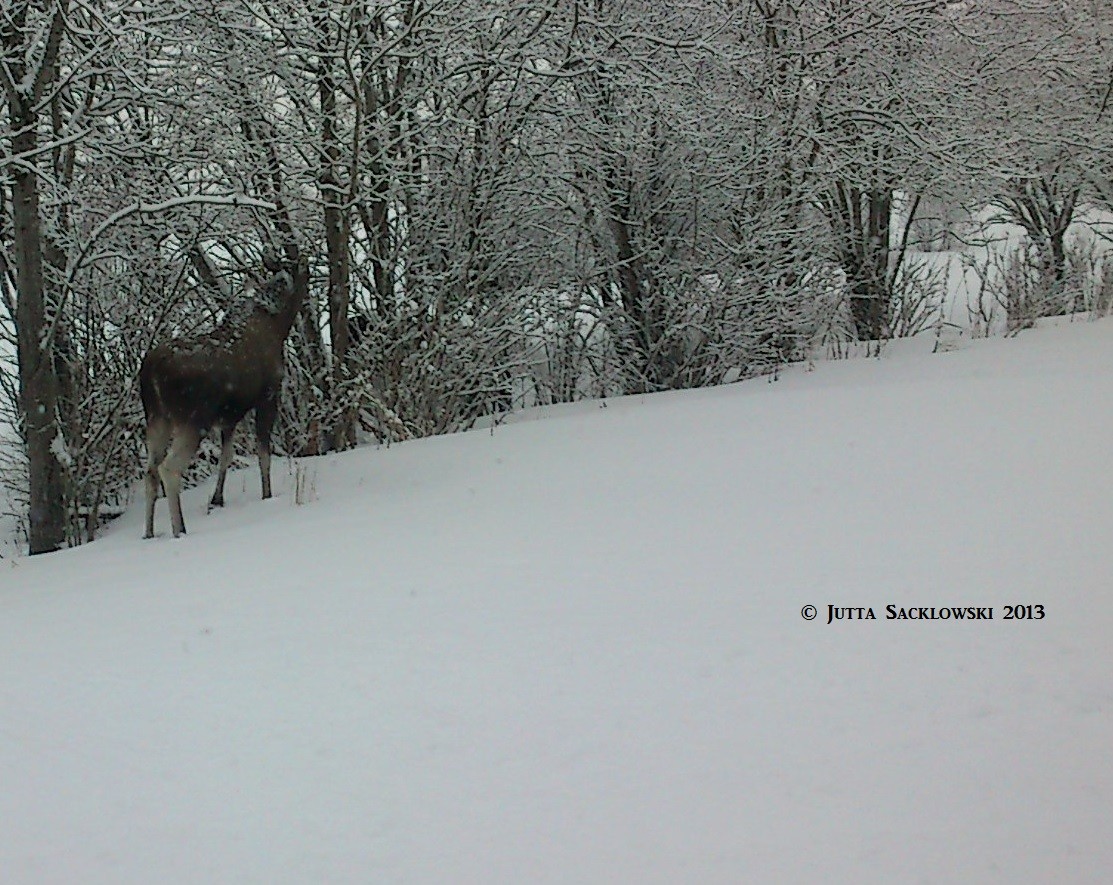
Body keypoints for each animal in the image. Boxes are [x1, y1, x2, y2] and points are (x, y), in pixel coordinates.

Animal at [142, 250, 313, 541]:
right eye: (300, 267)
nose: (310, 269)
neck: (280, 324)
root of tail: (150, 369)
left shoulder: (229, 416)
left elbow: (226, 455)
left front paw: (217, 499)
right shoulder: (268, 395)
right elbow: (263, 453)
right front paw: (267, 495)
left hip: (157, 420)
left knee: (150, 471)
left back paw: (149, 533)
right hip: (192, 420)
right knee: (169, 468)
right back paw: (180, 529)